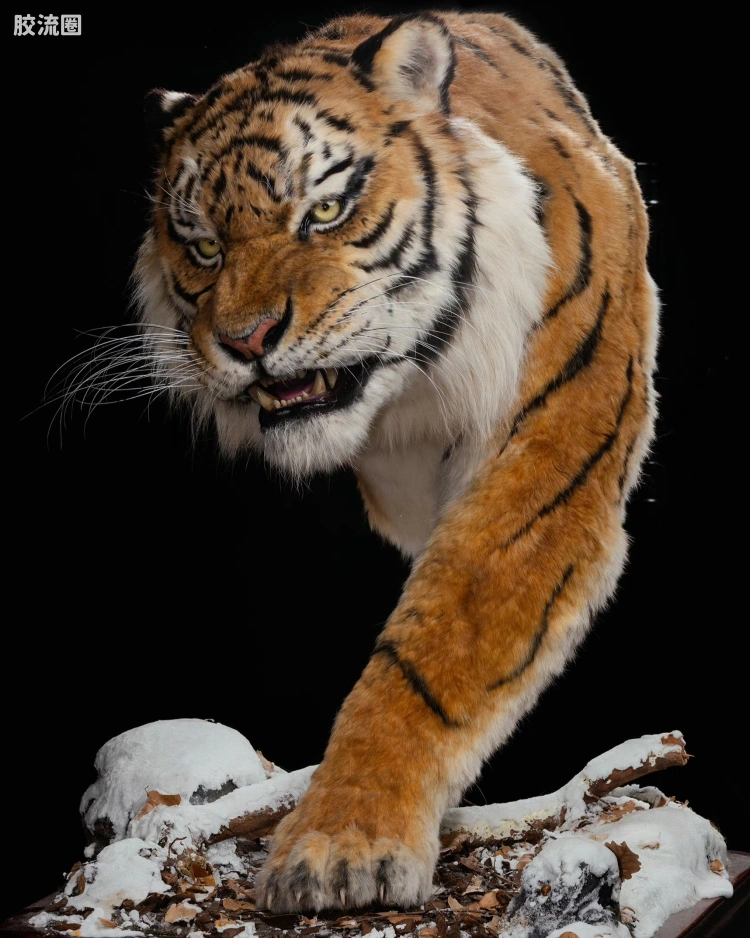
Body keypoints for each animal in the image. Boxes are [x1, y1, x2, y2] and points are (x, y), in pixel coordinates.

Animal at [135, 9, 657, 914]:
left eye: (325, 209)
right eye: (201, 247)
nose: (246, 340)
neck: (403, 396)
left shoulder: (546, 468)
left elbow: (427, 658)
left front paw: (342, 846)